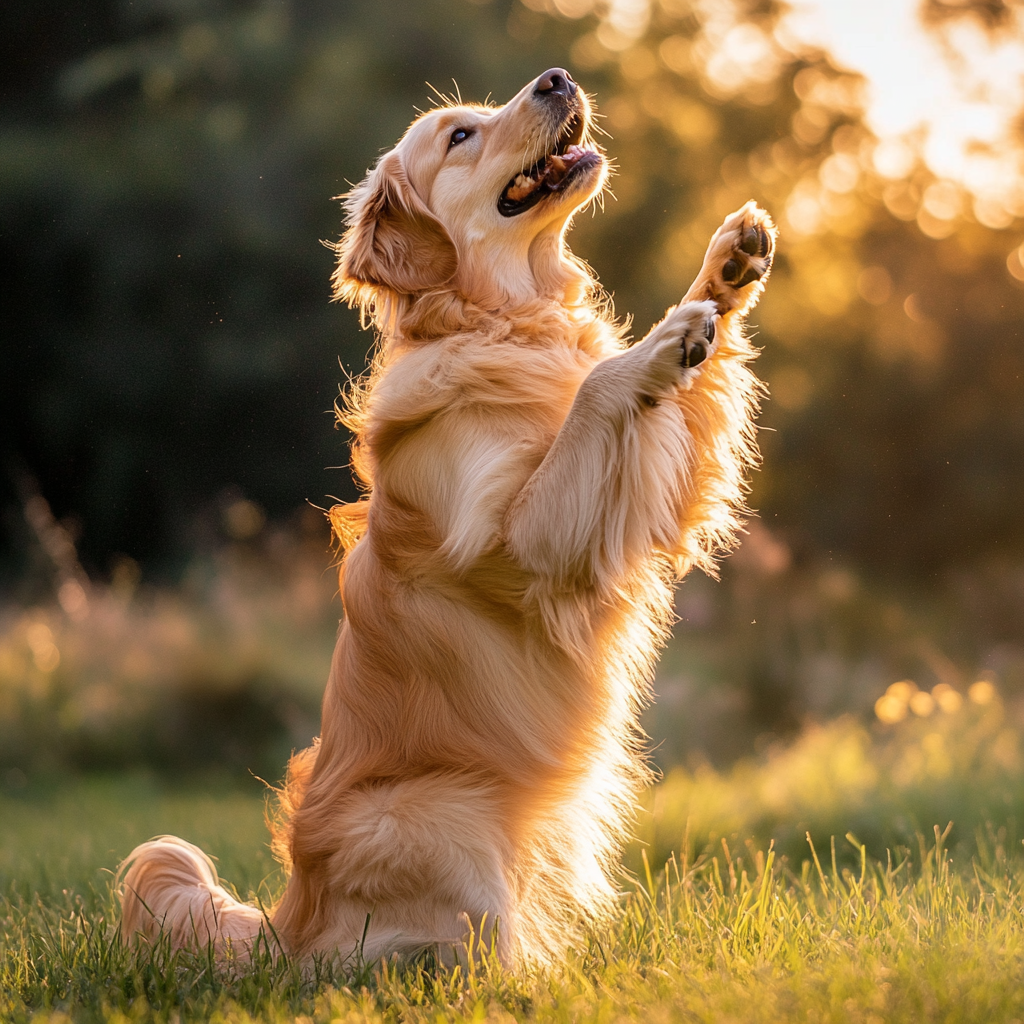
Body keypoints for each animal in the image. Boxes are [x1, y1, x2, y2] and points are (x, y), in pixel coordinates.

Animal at [117, 66, 774, 966]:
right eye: (460, 136)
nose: (558, 76)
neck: (503, 319)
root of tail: (290, 924)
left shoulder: (653, 486)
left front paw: (727, 269)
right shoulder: (520, 542)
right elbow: (598, 388)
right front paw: (655, 343)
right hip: (441, 818)